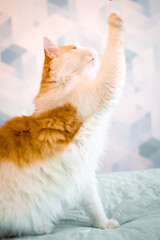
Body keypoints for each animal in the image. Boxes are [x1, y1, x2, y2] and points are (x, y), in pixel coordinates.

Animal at [0, 13, 125, 238]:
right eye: (75, 48)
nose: (93, 48)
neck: (62, 85)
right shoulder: (104, 87)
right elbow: (114, 55)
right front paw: (115, 20)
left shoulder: (83, 175)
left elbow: (95, 207)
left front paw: (103, 224)